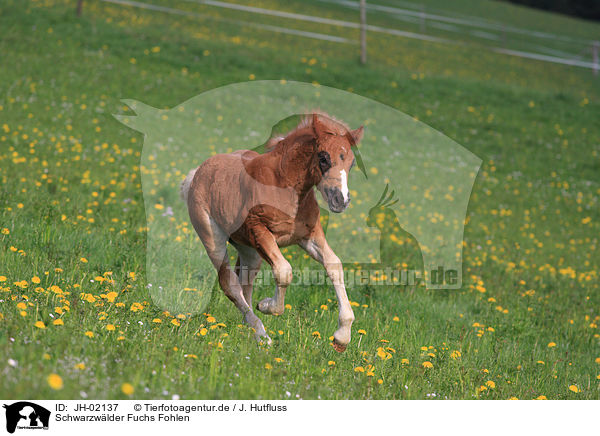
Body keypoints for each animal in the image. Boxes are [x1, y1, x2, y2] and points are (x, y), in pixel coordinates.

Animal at [180, 112, 364, 350]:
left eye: (351, 163)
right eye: (323, 158)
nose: (340, 200)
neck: (284, 185)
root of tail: (197, 174)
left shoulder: (310, 236)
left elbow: (334, 265)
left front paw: (342, 337)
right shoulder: (258, 230)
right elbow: (284, 271)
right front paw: (267, 305)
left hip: (249, 250)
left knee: (245, 284)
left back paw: (251, 329)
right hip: (214, 238)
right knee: (230, 284)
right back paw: (262, 334)